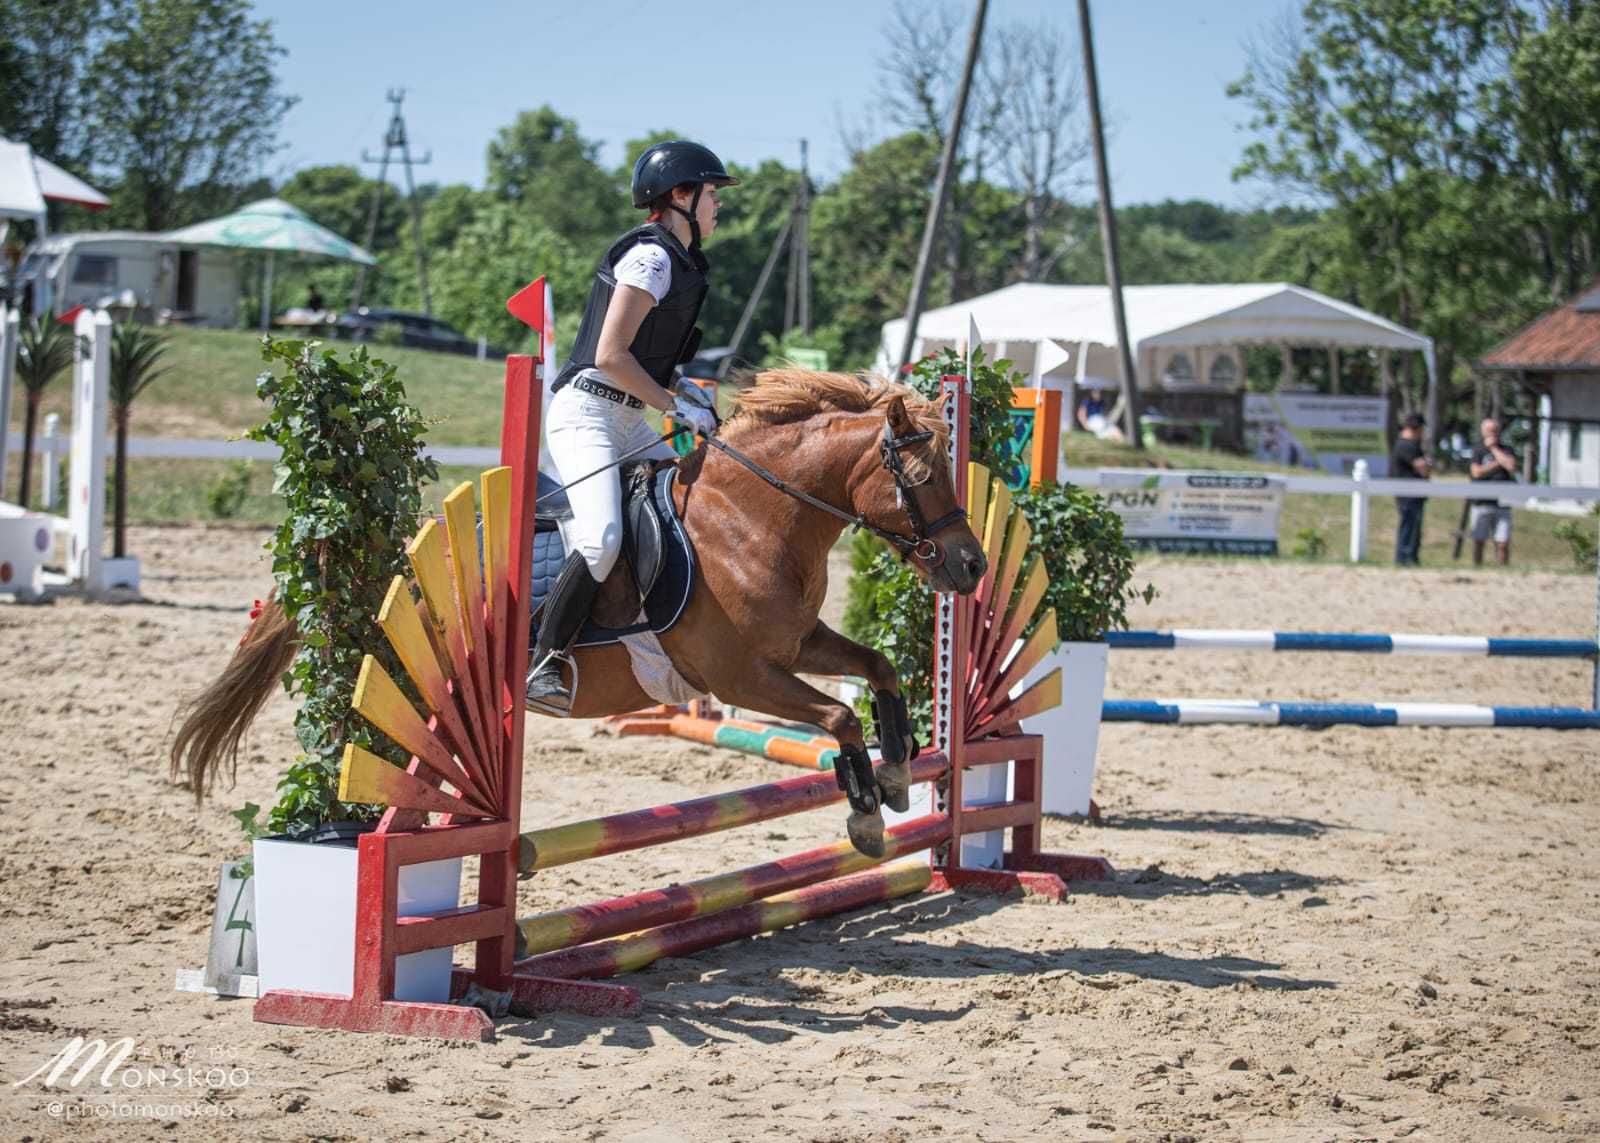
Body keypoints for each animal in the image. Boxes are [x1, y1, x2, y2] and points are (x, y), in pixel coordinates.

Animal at [168, 369, 979, 851]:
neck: (750, 520)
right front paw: (867, 810)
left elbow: (879, 669)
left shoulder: (797, 643)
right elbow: (839, 716)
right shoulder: (740, 677)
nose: (971, 566)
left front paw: (900, 768)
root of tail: (379, 553)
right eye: (920, 475)